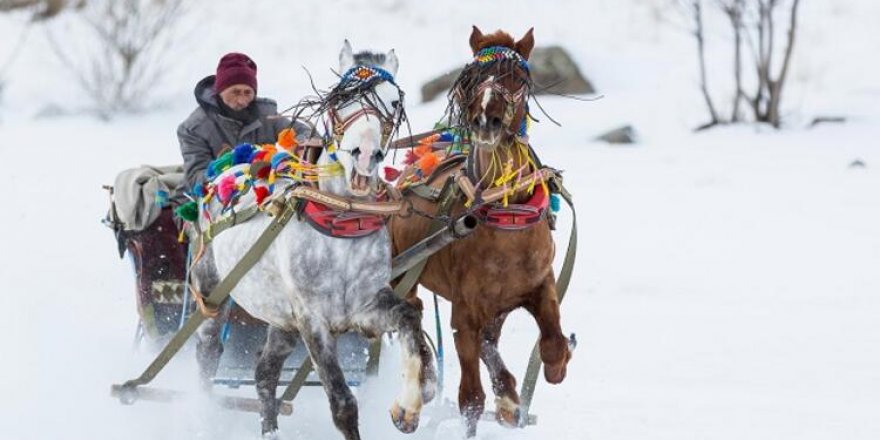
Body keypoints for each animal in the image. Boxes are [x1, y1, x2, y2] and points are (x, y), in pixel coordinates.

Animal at [195, 43, 436, 440]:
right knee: (207, 351)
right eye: (341, 99)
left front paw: (411, 403)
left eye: (393, 102)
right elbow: (342, 404)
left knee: (265, 373)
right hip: (212, 294)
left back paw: (271, 431)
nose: (365, 155)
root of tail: (226, 170)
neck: (341, 219)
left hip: (281, 319)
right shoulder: (312, 318)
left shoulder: (365, 306)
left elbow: (410, 318)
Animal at [390, 26, 572, 436]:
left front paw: (543, 376)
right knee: (409, 316)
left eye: (517, 78)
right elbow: (470, 399)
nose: (486, 120)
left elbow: (552, 343)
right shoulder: (465, 311)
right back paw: (412, 401)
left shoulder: (540, 284)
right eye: (470, 79)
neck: (505, 211)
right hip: (399, 272)